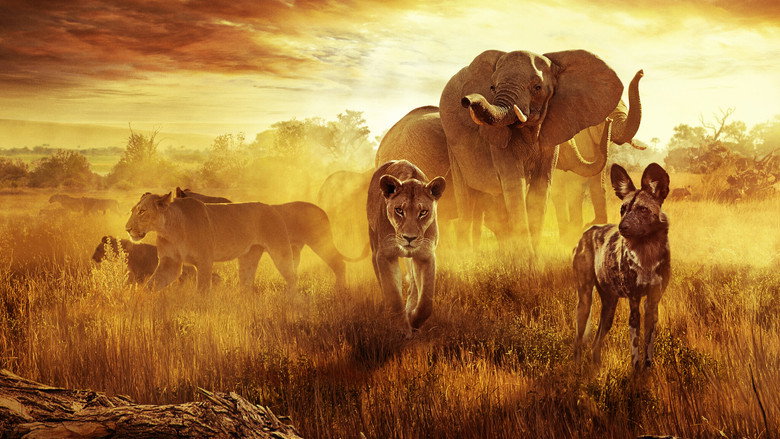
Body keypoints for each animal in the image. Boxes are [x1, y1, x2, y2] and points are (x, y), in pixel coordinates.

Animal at [125, 192, 297, 293]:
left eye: (142, 211)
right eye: (132, 210)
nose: (127, 229)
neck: (169, 230)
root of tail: (271, 206)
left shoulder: (204, 261)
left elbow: (202, 291)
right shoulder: (170, 263)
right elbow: (150, 286)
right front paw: (138, 305)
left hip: (280, 252)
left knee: (292, 277)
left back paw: (292, 302)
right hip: (248, 257)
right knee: (246, 284)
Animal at [367, 160, 446, 331]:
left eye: (423, 212)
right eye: (399, 210)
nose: (409, 238)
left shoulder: (426, 255)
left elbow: (426, 301)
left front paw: (414, 321)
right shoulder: (385, 255)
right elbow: (393, 296)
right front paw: (402, 329)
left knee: (414, 286)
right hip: (374, 246)